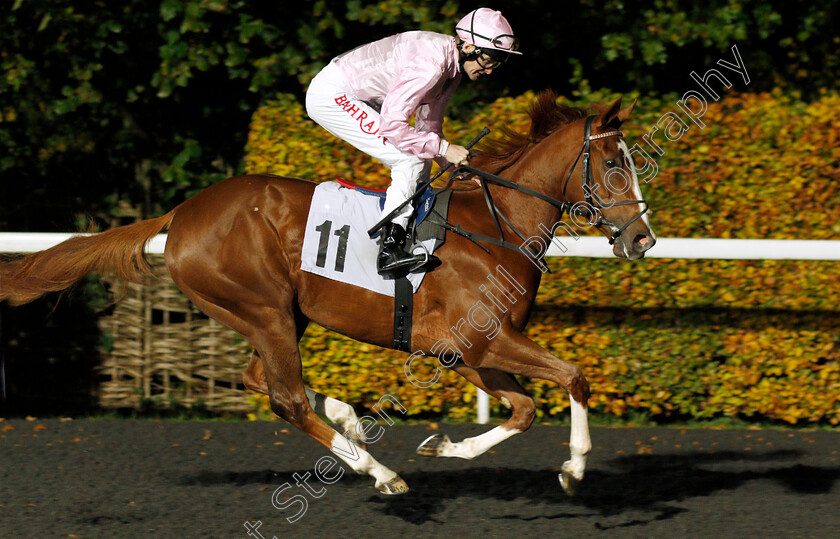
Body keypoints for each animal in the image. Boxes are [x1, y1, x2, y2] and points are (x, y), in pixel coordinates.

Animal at [0, 90, 656, 496]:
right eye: (613, 164)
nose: (642, 238)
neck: (497, 226)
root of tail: (182, 213)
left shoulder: (465, 351)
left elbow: (522, 409)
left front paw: (443, 446)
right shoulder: (484, 341)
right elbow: (573, 376)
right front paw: (575, 466)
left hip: (277, 313)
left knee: (260, 380)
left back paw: (349, 420)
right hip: (261, 307)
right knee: (284, 397)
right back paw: (378, 470)